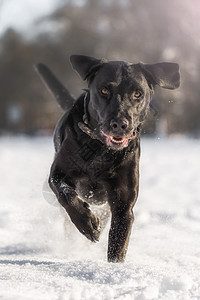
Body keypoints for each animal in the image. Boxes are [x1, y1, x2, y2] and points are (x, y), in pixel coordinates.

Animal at [35, 55, 180, 262]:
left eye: (137, 93)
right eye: (104, 90)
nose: (120, 124)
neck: (101, 150)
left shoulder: (123, 203)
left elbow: (118, 240)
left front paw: (113, 267)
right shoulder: (58, 173)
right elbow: (66, 194)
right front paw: (87, 223)